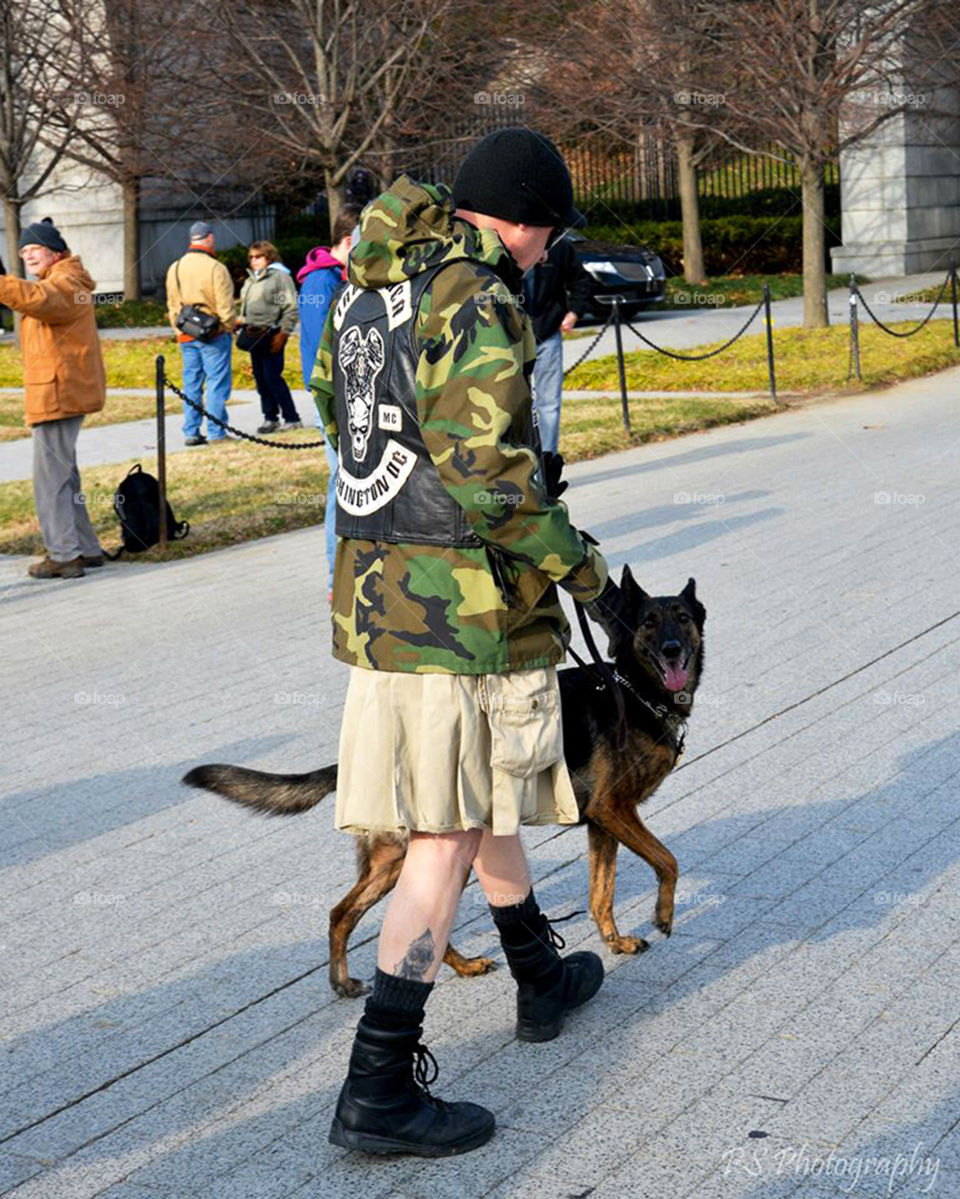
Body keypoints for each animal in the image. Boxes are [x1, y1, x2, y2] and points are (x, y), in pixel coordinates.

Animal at [182, 565, 704, 997]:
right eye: (648, 623)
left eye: (682, 617)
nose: (672, 649)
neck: (636, 691)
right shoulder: (615, 811)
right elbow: (669, 861)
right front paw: (663, 916)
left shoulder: (602, 823)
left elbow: (602, 893)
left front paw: (615, 942)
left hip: (396, 861)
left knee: (345, 914)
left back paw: (359, 980)